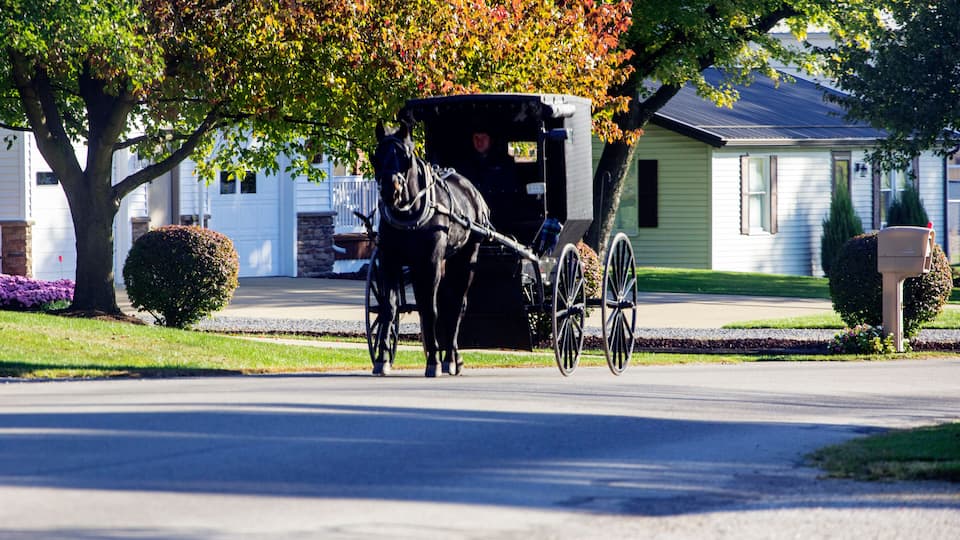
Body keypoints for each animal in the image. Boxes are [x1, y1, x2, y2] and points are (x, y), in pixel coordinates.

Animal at [371, 121, 490, 377]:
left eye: (405, 156)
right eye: (377, 155)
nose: (389, 191)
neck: (410, 213)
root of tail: (472, 190)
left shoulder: (430, 262)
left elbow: (430, 310)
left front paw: (433, 361)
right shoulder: (389, 260)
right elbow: (389, 308)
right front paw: (382, 359)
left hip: (466, 259)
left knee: (456, 305)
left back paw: (450, 358)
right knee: (447, 303)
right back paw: (454, 357)